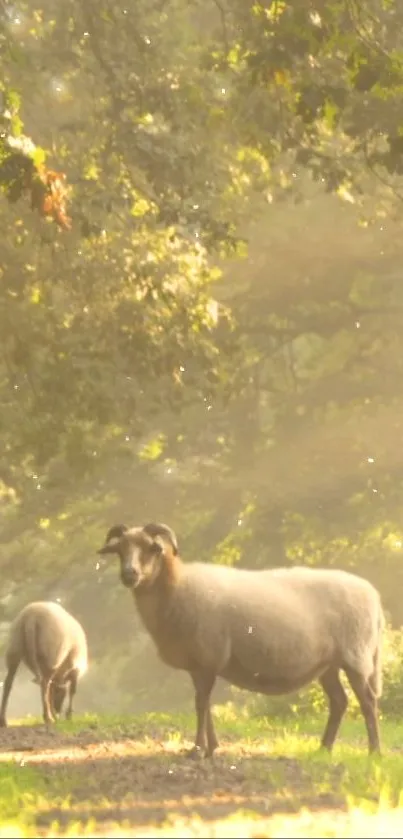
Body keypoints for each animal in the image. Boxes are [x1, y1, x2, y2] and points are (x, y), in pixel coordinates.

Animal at [98, 520, 386, 756]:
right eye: (120, 549)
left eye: (150, 548)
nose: (129, 574)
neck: (176, 586)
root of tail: (373, 596)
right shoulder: (199, 663)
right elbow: (204, 704)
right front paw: (212, 747)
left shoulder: (208, 657)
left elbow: (201, 705)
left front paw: (197, 750)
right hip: (328, 664)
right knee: (340, 702)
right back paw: (324, 748)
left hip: (356, 656)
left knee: (368, 701)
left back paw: (374, 752)